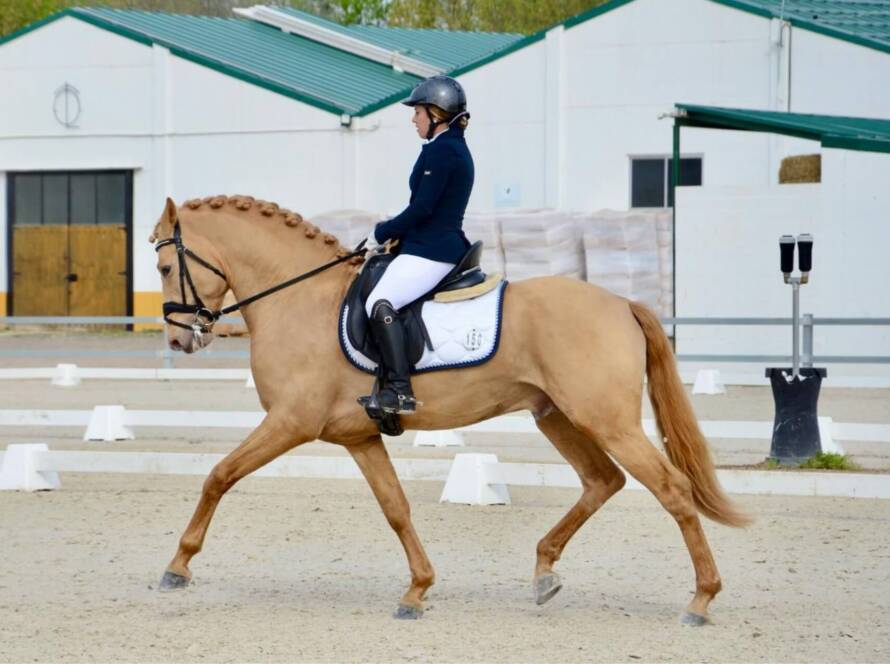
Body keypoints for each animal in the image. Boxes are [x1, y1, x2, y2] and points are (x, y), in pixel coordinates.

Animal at [151, 195, 744, 624]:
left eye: (161, 266)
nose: (180, 341)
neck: (301, 300)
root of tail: (621, 303)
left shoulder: (290, 423)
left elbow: (219, 475)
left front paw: (177, 566)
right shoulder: (358, 436)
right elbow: (396, 509)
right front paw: (417, 590)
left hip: (607, 420)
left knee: (671, 489)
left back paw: (701, 599)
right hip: (558, 416)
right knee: (603, 481)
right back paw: (544, 574)